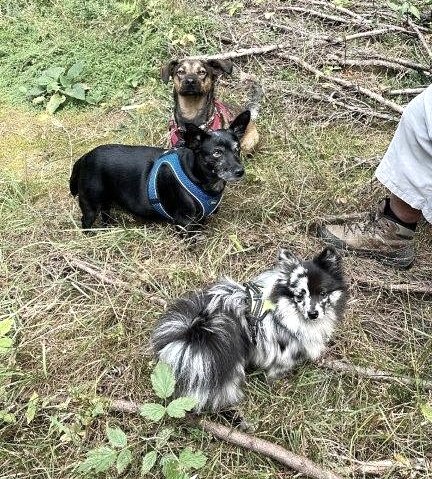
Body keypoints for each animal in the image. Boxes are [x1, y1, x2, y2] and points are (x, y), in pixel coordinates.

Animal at [67, 109, 250, 230]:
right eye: (217, 153)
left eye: (237, 149)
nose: (240, 171)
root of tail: (84, 157)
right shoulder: (184, 222)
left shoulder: (199, 220)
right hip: (90, 206)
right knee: (86, 223)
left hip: (106, 201)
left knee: (106, 215)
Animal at [152, 248, 348, 412]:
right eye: (300, 295)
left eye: (323, 293)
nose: (313, 313)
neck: (282, 308)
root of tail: (199, 327)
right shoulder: (282, 350)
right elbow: (277, 369)